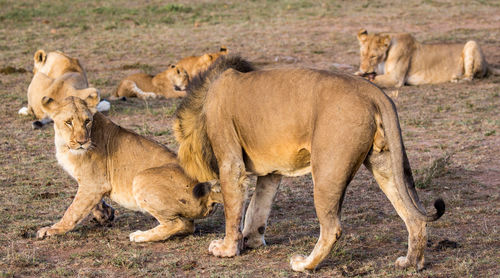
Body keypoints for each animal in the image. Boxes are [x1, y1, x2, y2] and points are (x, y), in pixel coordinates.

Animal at [35, 93, 221, 241]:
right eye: (68, 122)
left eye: (87, 121)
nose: (82, 142)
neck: (64, 144)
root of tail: (209, 191)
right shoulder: (93, 186)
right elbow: (91, 203)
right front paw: (104, 215)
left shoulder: (93, 183)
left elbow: (73, 210)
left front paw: (53, 229)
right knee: (188, 226)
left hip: (141, 178)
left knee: (179, 224)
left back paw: (140, 236)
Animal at [173, 56, 446, 272]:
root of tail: (372, 91)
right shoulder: (272, 171)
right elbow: (258, 207)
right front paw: (251, 240)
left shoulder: (231, 161)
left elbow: (234, 209)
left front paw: (228, 248)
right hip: (385, 164)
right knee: (414, 217)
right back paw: (411, 263)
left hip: (327, 171)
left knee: (332, 228)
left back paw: (304, 264)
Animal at [356, 28, 500, 87]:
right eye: (362, 54)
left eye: (373, 56)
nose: (363, 70)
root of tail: (488, 64)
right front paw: (358, 73)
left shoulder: (395, 79)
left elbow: (371, 80)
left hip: (471, 43)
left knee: (470, 77)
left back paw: (456, 79)